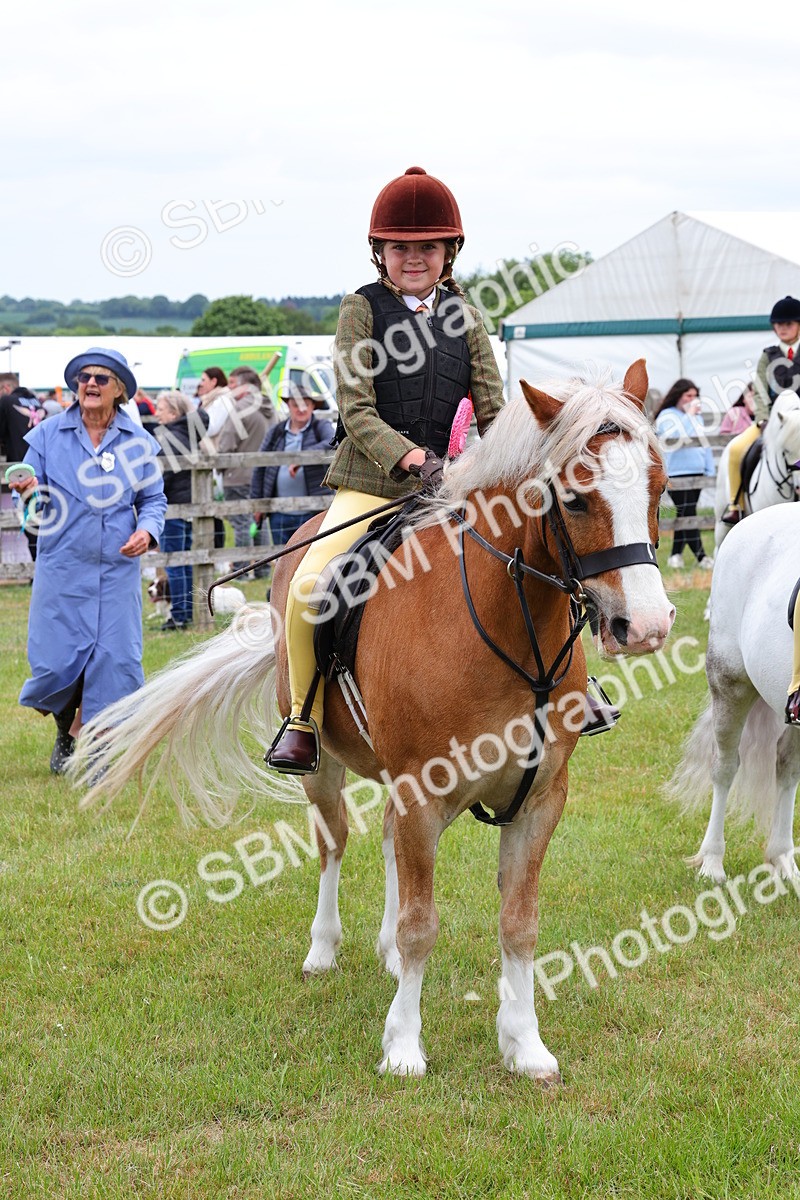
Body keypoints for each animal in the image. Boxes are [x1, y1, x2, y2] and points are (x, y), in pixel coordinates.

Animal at [72, 361, 675, 1081]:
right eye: (577, 499)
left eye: (660, 486)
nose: (646, 626)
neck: (501, 626)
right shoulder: (423, 792)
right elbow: (421, 923)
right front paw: (404, 1046)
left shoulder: (539, 802)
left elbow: (519, 923)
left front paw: (524, 1044)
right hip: (323, 767)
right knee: (333, 842)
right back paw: (323, 949)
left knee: (385, 839)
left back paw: (382, 951)